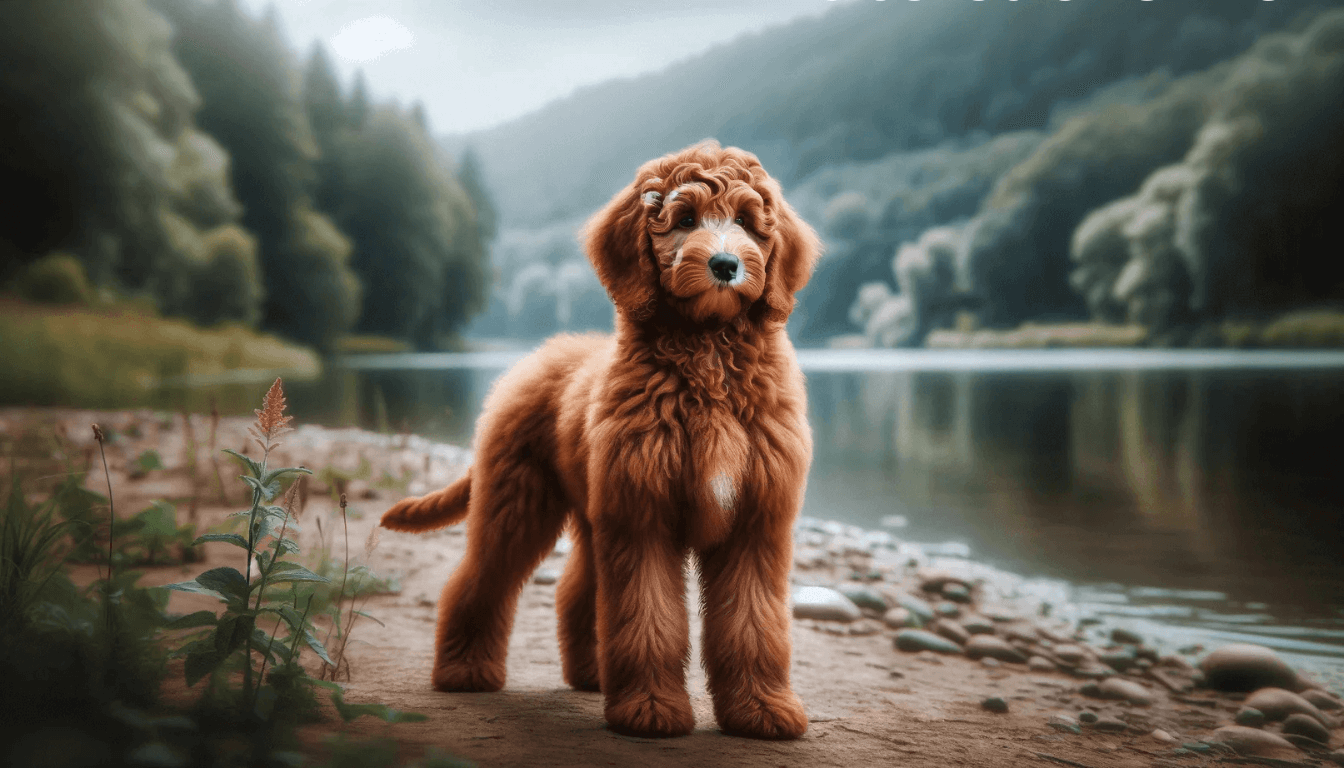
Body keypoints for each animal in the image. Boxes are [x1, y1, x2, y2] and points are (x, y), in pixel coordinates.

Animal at [379, 139, 817, 737]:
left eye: (749, 223)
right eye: (684, 218)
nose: (725, 265)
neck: (707, 360)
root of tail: (536, 359)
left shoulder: (753, 522)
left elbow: (753, 623)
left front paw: (762, 709)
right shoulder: (644, 516)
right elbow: (647, 615)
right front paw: (651, 709)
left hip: (592, 512)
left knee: (577, 592)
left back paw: (591, 675)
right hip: (518, 502)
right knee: (478, 582)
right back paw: (464, 670)